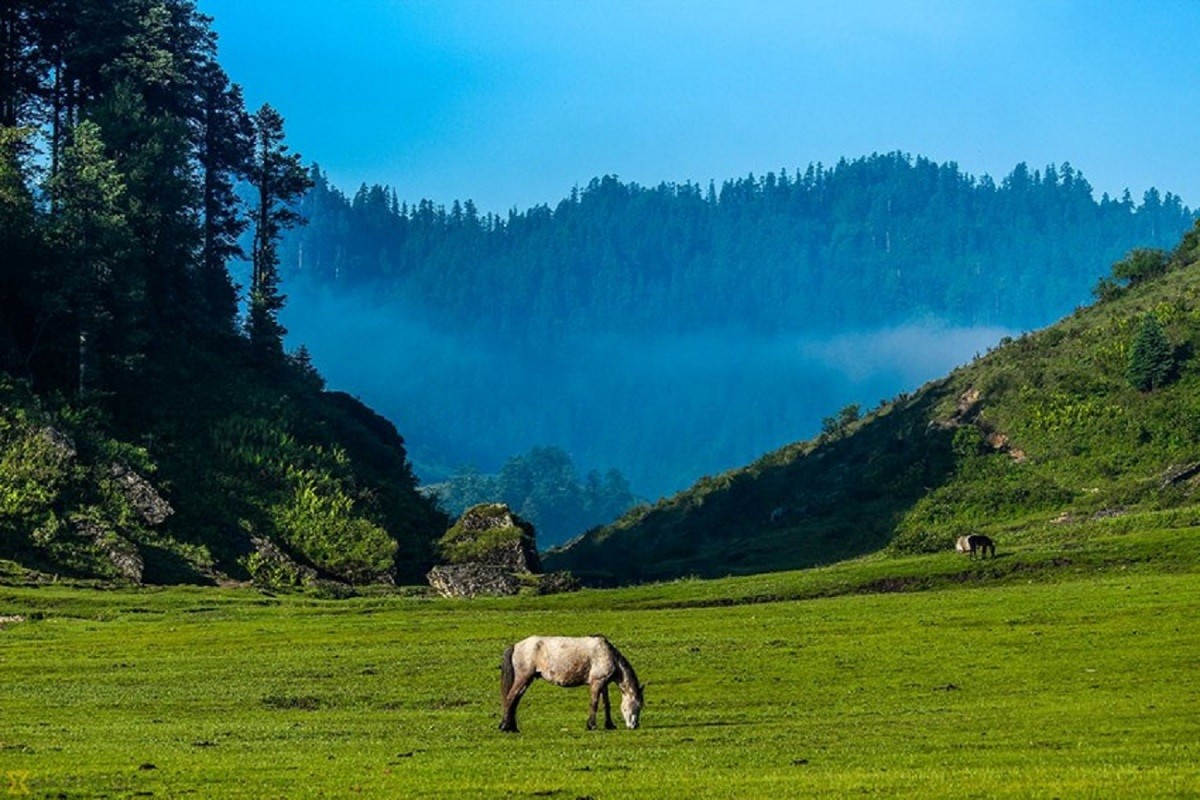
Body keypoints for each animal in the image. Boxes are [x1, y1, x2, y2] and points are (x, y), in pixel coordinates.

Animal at [499, 638, 648, 734]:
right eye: (638, 706)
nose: (635, 726)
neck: (608, 654)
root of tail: (515, 646)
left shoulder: (603, 683)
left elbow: (606, 704)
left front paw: (609, 725)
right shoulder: (597, 682)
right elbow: (594, 703)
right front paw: (591, 725)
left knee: (515, 700)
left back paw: (512, 727)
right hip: (523, 677)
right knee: (511, 698)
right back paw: (506, 727)